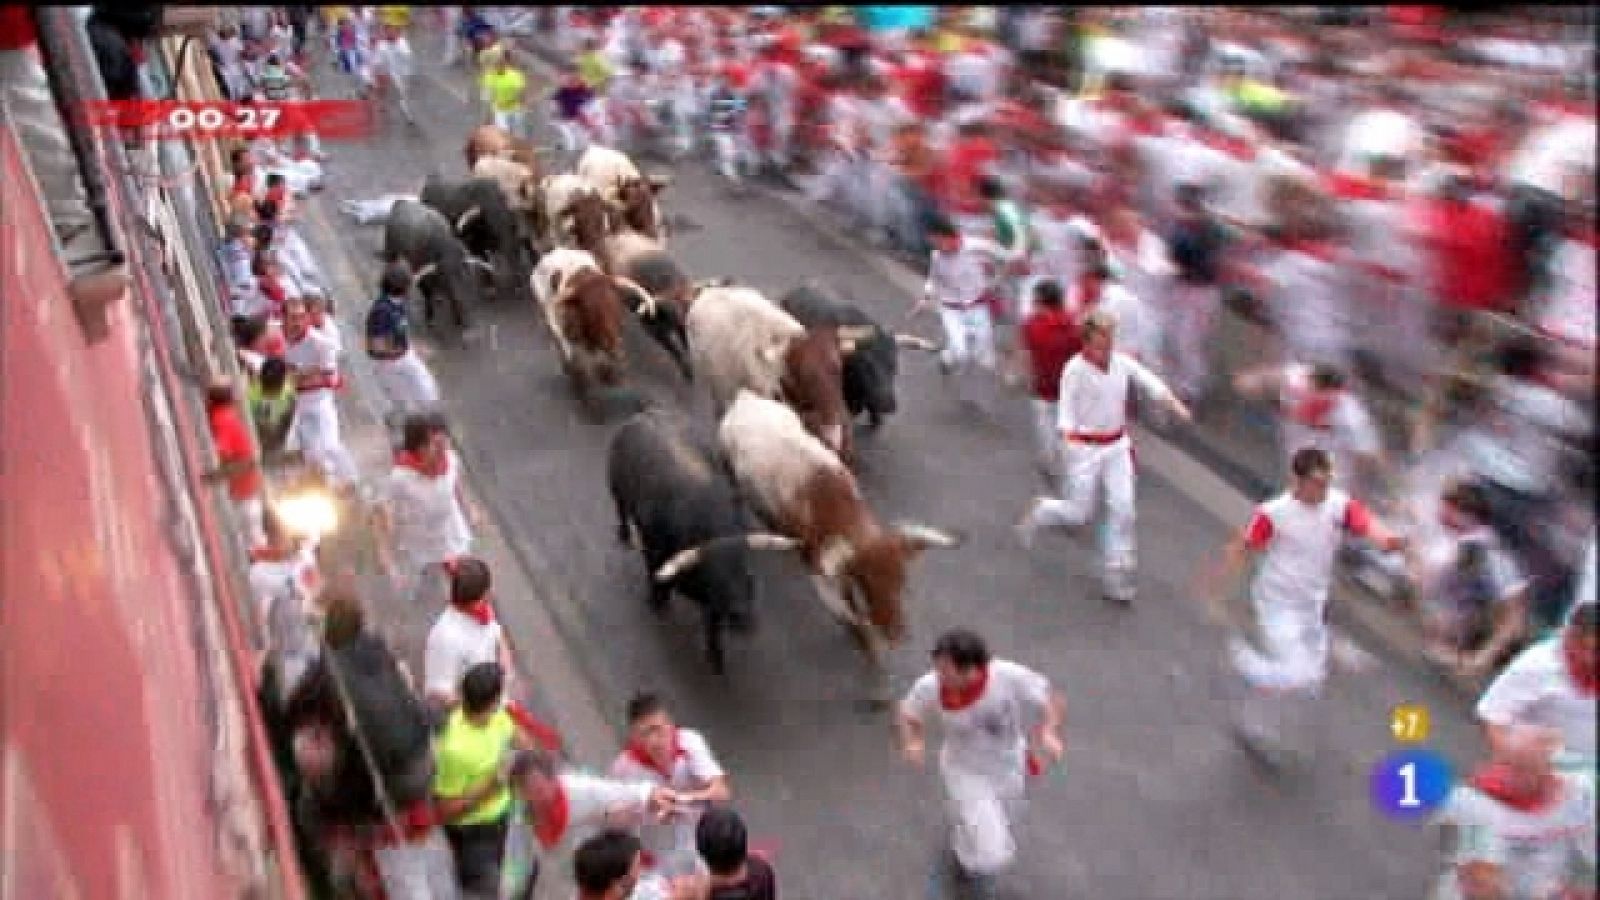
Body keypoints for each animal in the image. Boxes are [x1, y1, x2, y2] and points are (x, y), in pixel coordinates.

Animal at [601, 406, 796, 672]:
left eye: (747, 574)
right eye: (716, 577)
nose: (744, 619)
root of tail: (643, 415)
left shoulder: (713, 604)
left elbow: (712, 625)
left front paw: (715, 657)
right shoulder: (654, 553)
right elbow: (656, 581)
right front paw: (657, 603)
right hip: (616, 491)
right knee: (620, 511)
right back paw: (623, 535)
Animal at [662, 389, 960, 698]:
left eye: (903, 583)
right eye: (867, 584)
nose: (899, 634)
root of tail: (745, 398)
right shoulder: (817, 570)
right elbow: (850, 619)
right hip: (729, 466)